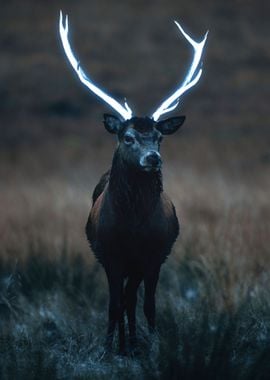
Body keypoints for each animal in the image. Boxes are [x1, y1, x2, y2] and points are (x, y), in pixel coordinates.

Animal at [58, 12, 207, 356]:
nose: (153, 158)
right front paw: (109, 347)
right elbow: (114, 305)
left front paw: (151, 345)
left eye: (160, 137)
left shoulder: (153, 255)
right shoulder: (110, 255)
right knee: (122, 300)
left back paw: (134, 341)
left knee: (132, 299)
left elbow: (146, 304)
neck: (132, 226)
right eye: (127, 137)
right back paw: (124, 343)